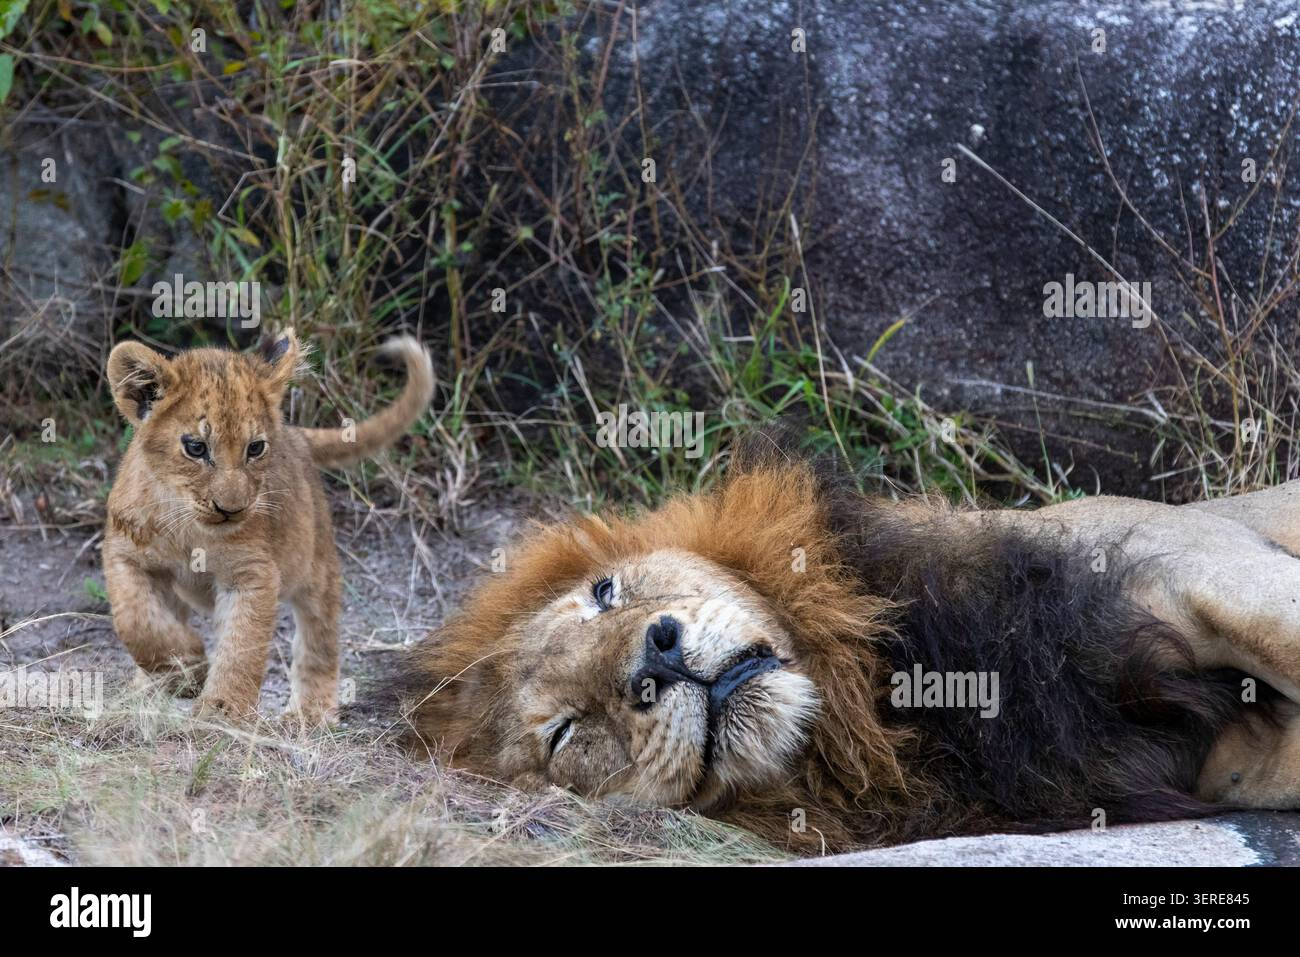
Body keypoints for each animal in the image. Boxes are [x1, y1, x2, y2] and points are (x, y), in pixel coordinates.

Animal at [103, 329, 433, 724]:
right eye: (196, 448)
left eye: (255, 448)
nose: (231, 509)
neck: (189, 528)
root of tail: (296, 435)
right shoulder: (125, 553)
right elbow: (136, 621)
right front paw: (186, 669)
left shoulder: (252, 572)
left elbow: (242, 644)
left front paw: (222, 709)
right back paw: (144, 689)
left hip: (316, 564)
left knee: (319, 640)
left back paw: (310, 713)